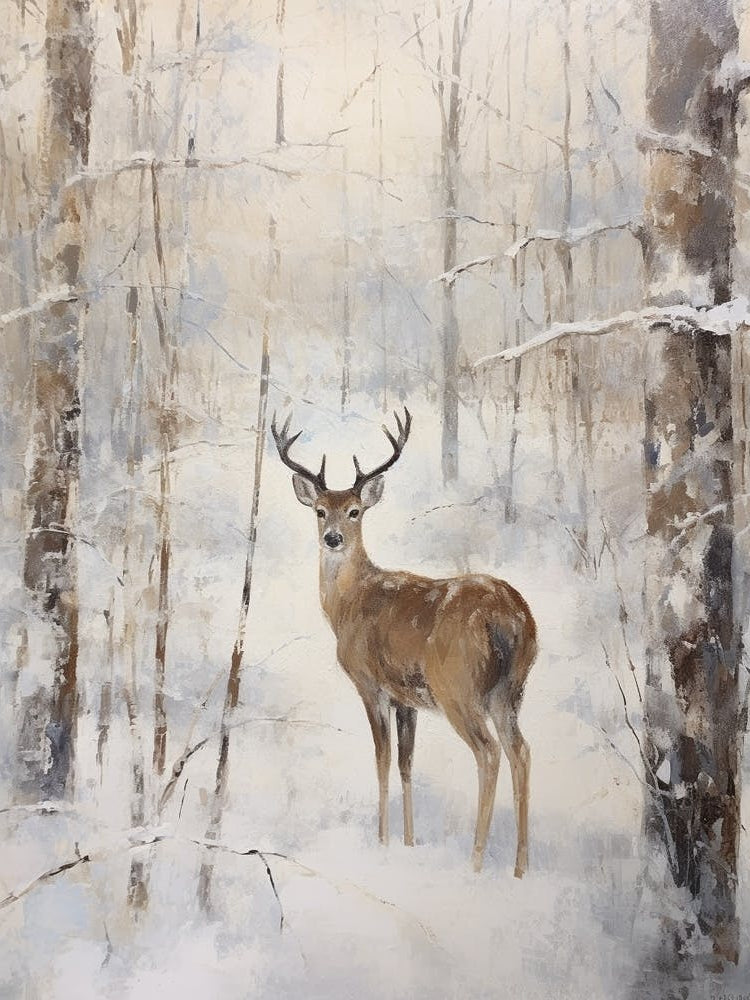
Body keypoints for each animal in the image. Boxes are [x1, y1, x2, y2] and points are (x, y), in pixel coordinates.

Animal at [272, 408, 537, 877]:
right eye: (320, 511)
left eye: (354, 511)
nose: (333, 538)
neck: (349, 604)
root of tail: (509, 617)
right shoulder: (406, 699)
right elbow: (406, 764)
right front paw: (409, 843)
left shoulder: (370, 683)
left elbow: (380, 761)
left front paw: (381, 842)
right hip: (510, 689)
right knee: (520, 751)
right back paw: (520, 867)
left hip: (458, 687)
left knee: (489, 753)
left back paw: (476, 860)